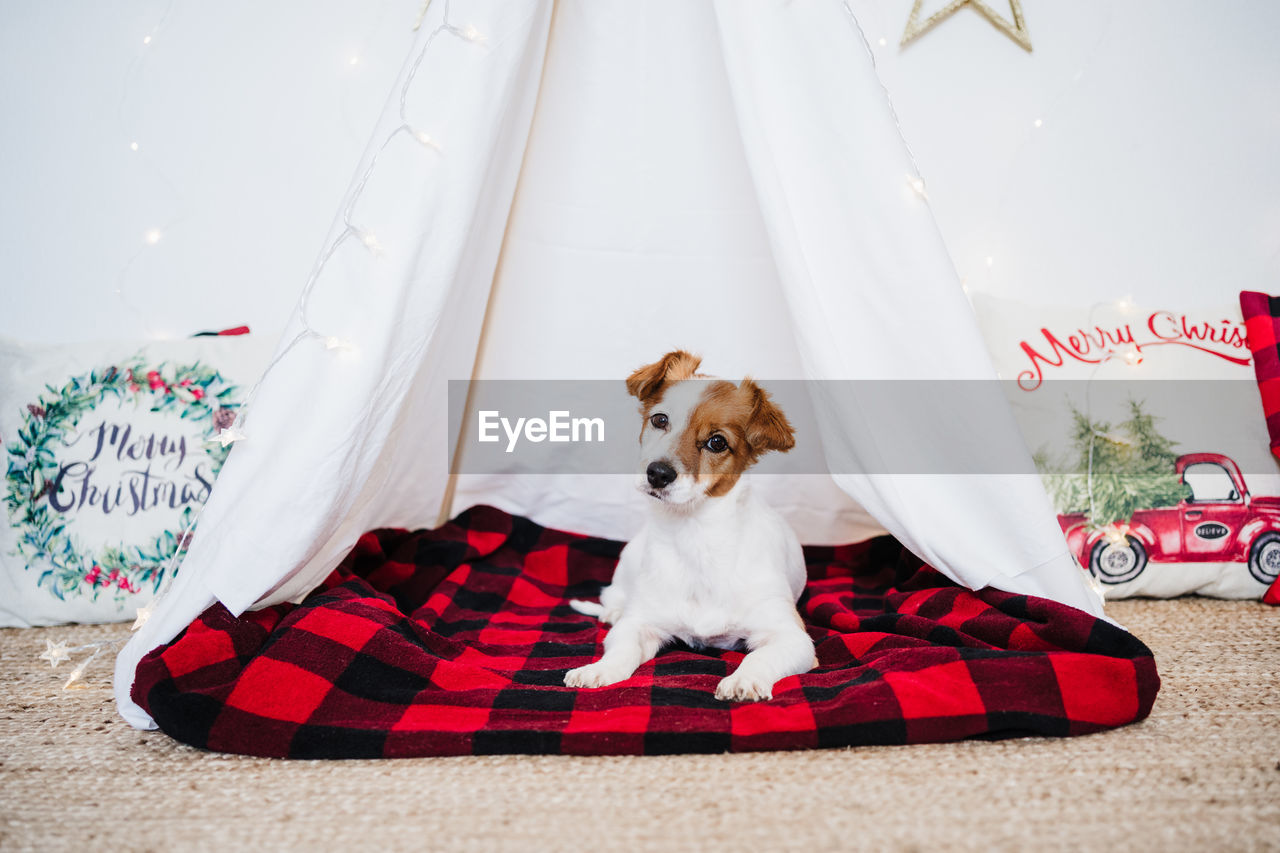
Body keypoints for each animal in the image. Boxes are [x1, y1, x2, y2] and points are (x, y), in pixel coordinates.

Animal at [565, 348, 814, 701]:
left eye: (717, 442)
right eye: (660, 420)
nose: (657, 473)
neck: (695, 535)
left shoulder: (792, 637)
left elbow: (760, 656)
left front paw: (744, 680)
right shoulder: (639, 624)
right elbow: (622, 648)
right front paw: (598, 669)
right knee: (612, 596)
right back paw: (613, 611)